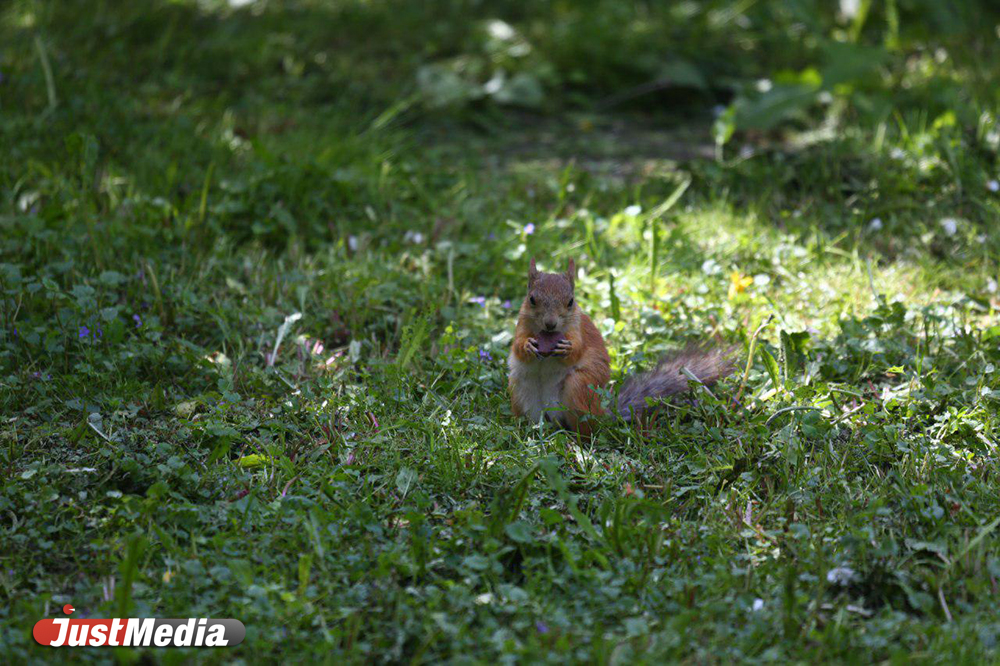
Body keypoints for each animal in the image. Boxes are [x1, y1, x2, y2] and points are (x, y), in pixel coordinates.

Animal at [508, 256, 736, 434]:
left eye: (571, 302)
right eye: (532, 299)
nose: (550, 324)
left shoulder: (578, 330)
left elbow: (578, 349)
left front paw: (568, 349)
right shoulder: (521, 325)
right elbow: (517, 347)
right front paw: (527, 346)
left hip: (579, 388)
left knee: (586, 428)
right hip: (520, 390)